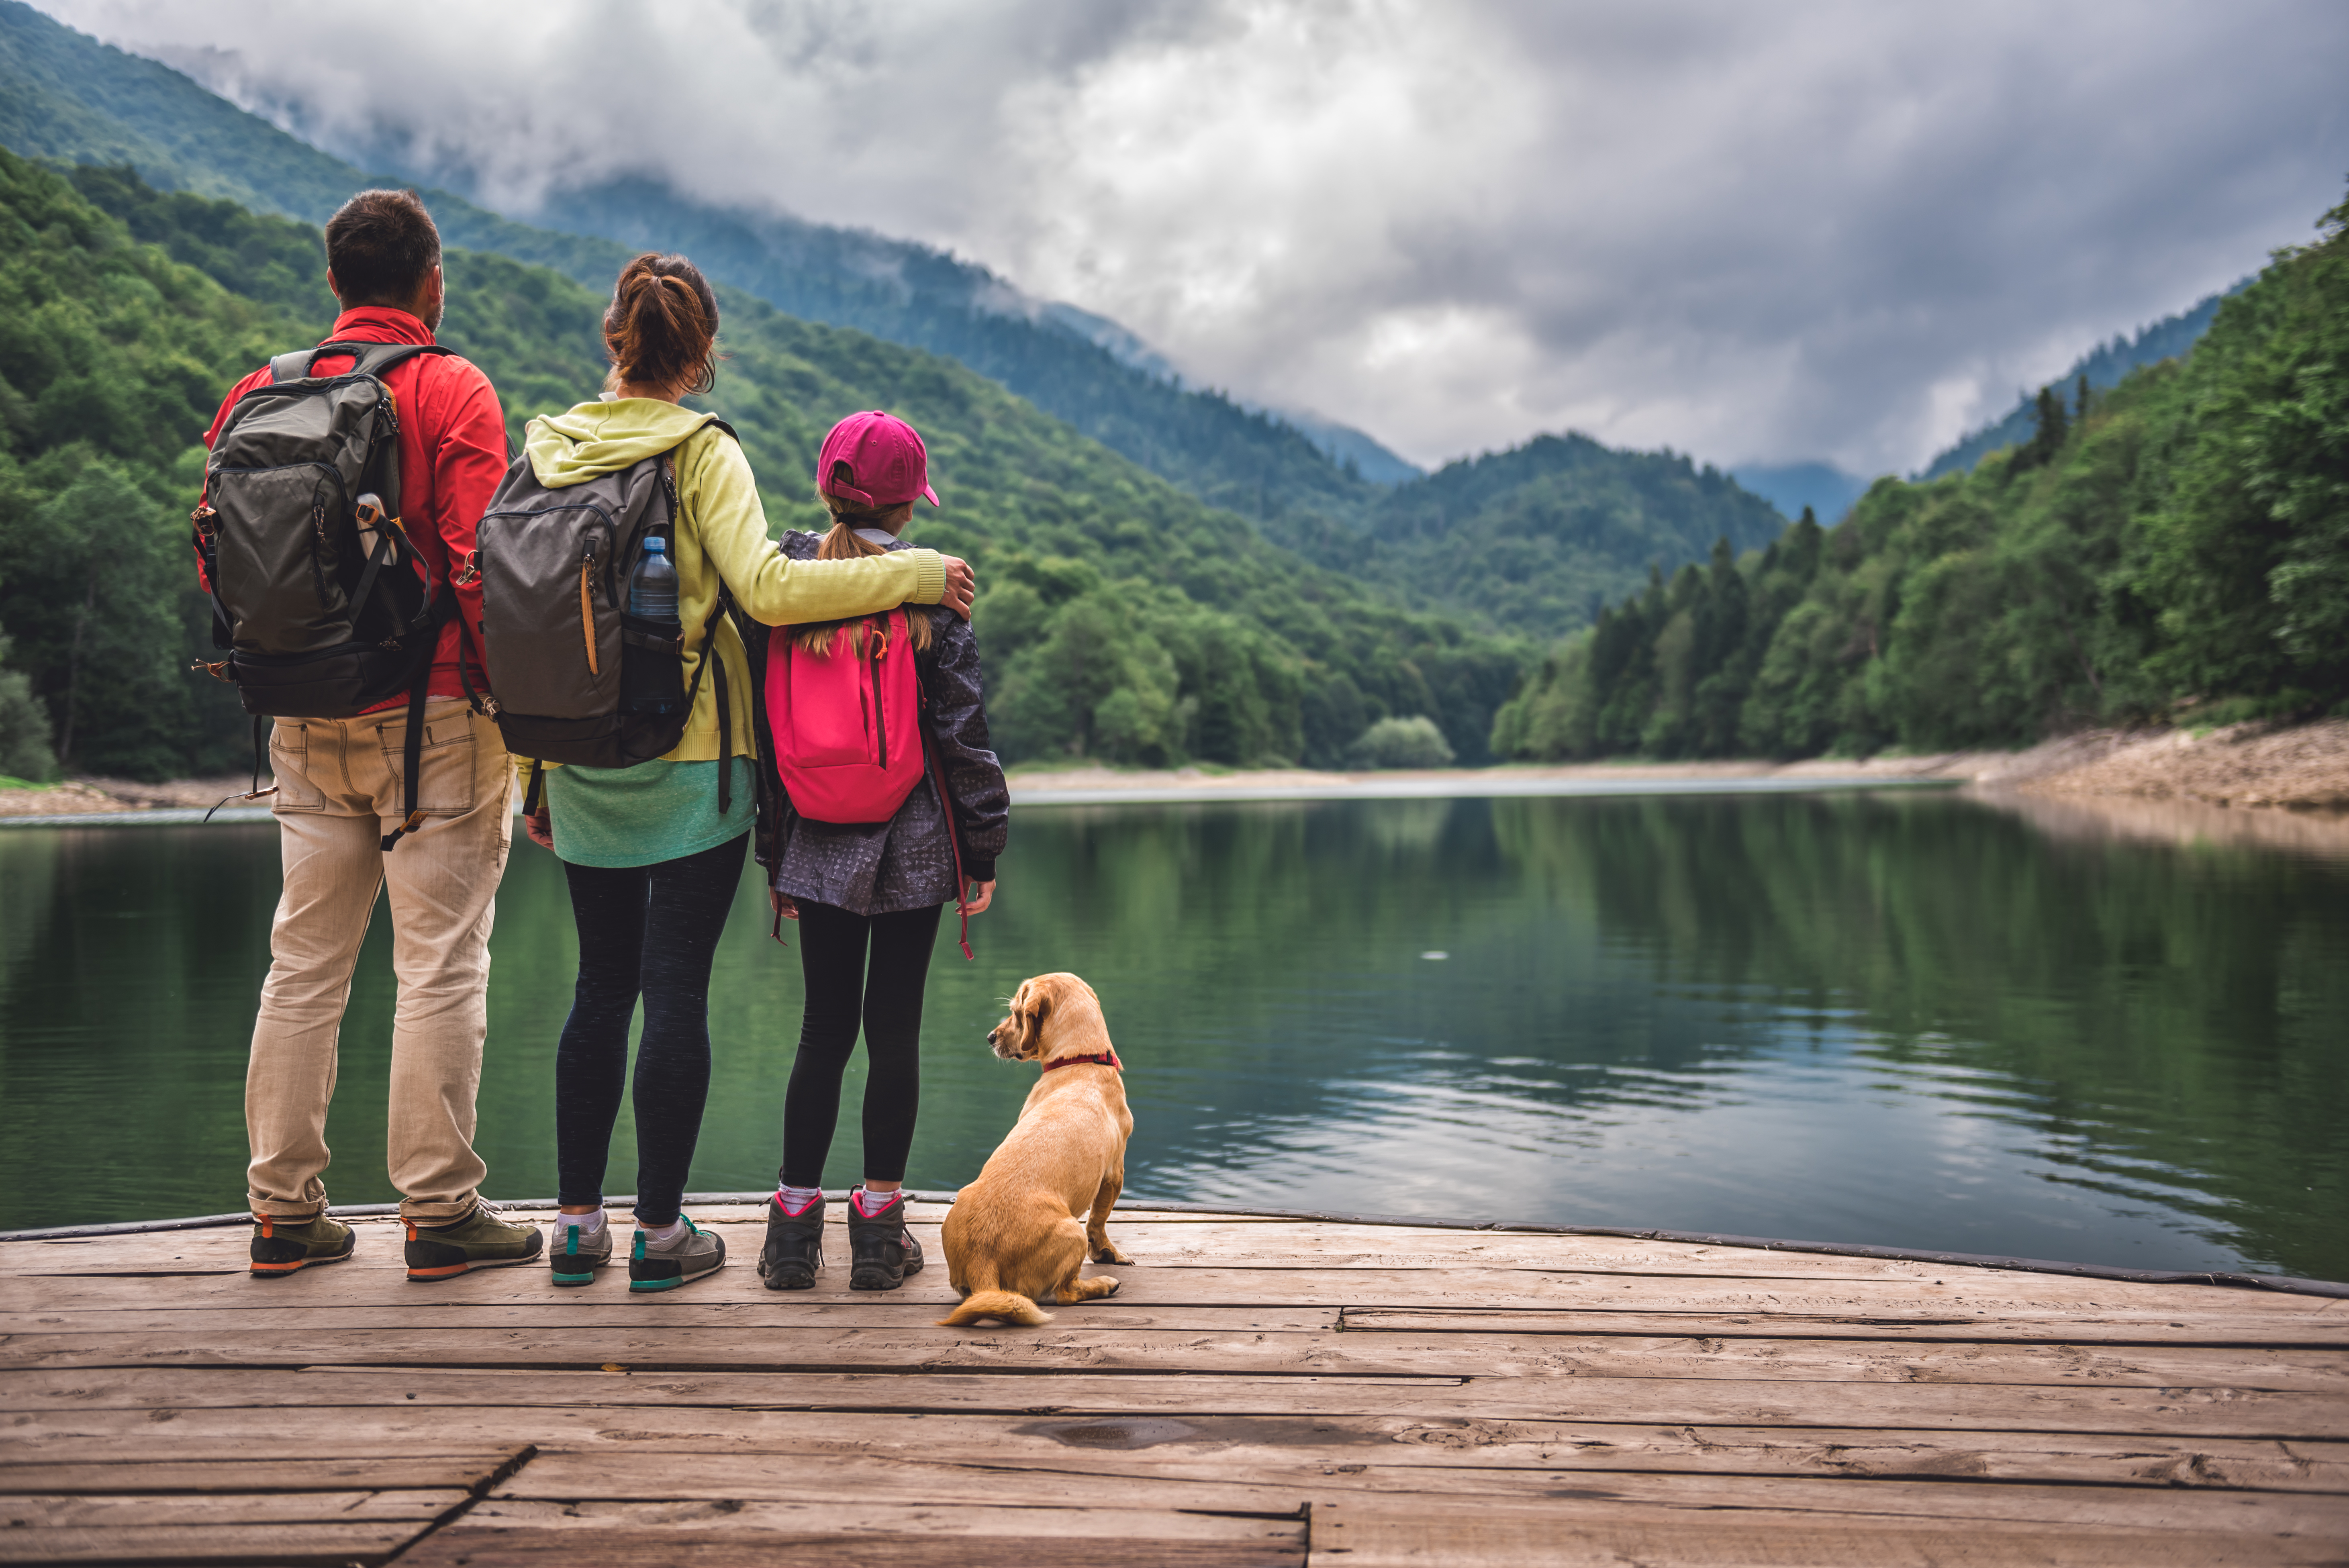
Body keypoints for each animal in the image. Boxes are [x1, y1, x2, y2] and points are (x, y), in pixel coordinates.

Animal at [944, 972, 1137, 1333]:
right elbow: (1099, 1221)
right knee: (1066, 1293)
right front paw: (1109, 1254)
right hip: (1072, 1235)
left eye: (1016, 1014)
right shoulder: (1114, 1175)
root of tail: (982, 1258)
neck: (1082, 1061)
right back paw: (1103, 1285)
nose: (990, 1037)